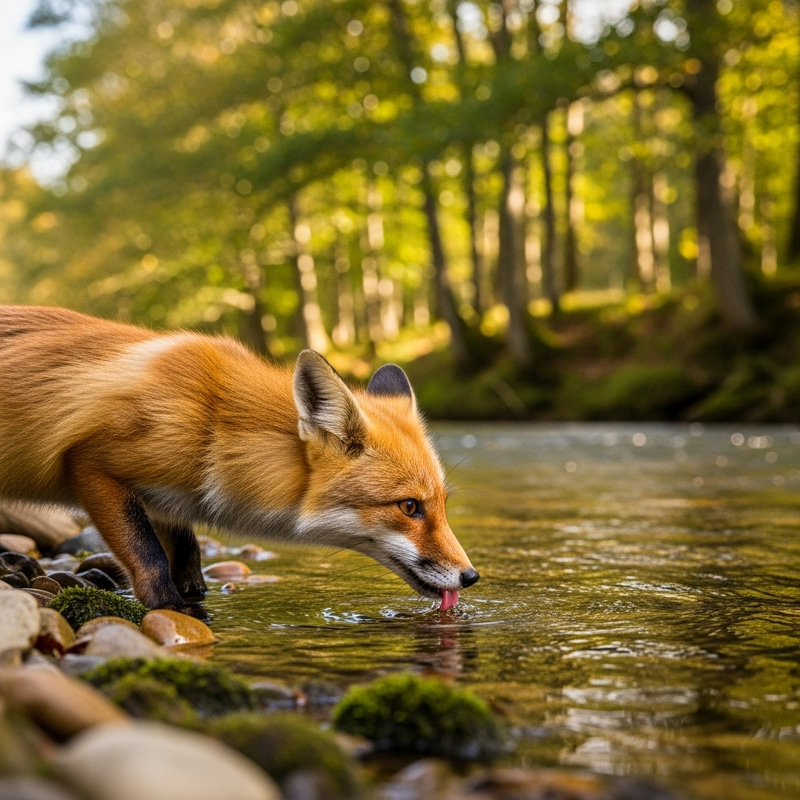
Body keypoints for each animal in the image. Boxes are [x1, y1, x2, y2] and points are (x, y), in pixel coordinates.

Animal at [0, 306, 478, 618]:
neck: (213, 424)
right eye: (409, 507)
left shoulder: (168, 498)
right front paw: (172, 609)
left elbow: (188, 552)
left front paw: (193, 596)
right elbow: (148, 556)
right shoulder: (93, 465)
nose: (471, 577)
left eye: (442, 504)